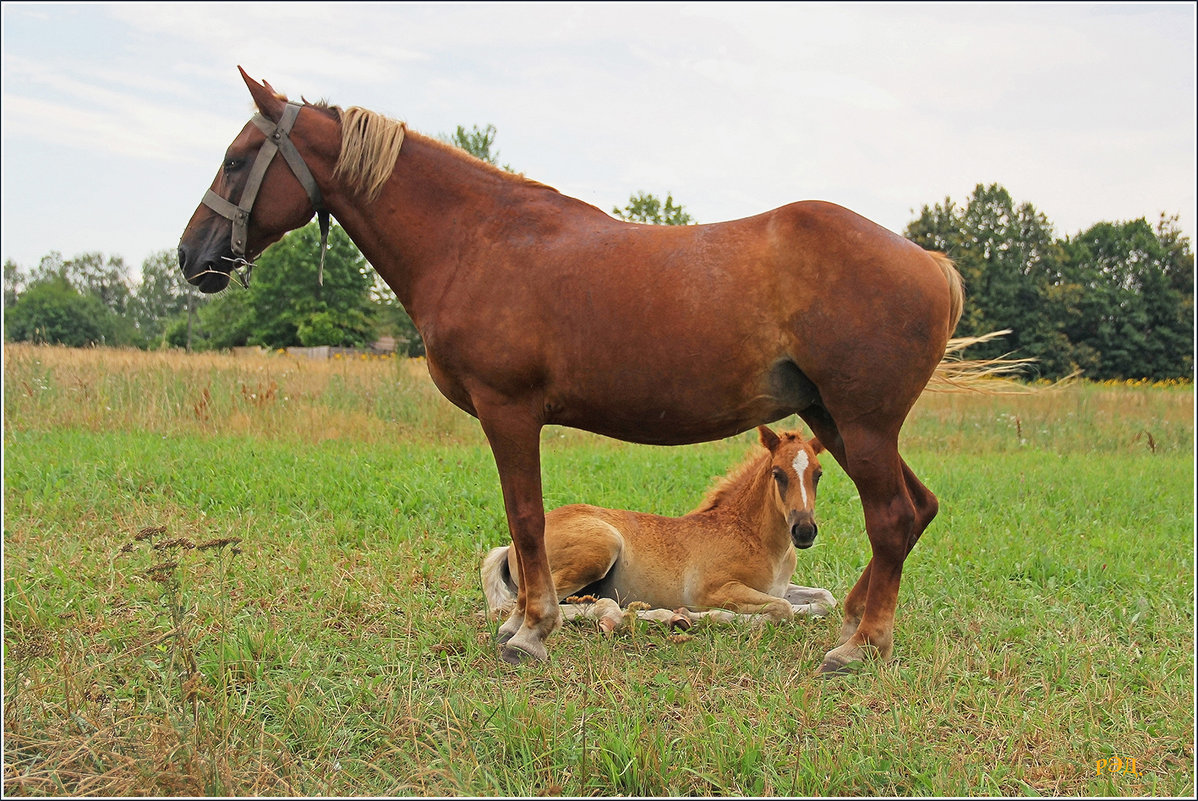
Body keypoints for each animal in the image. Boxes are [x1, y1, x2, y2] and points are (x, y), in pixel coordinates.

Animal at [479, 423, 833, 632]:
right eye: (777, 473)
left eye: (818, 473)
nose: (804, 531)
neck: (753, 536)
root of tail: (510, 547)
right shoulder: (713, 589)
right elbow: (782, 609)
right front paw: (698, 616)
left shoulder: (775, 588)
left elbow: (823, 599)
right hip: (601, 547)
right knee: (527, 609)